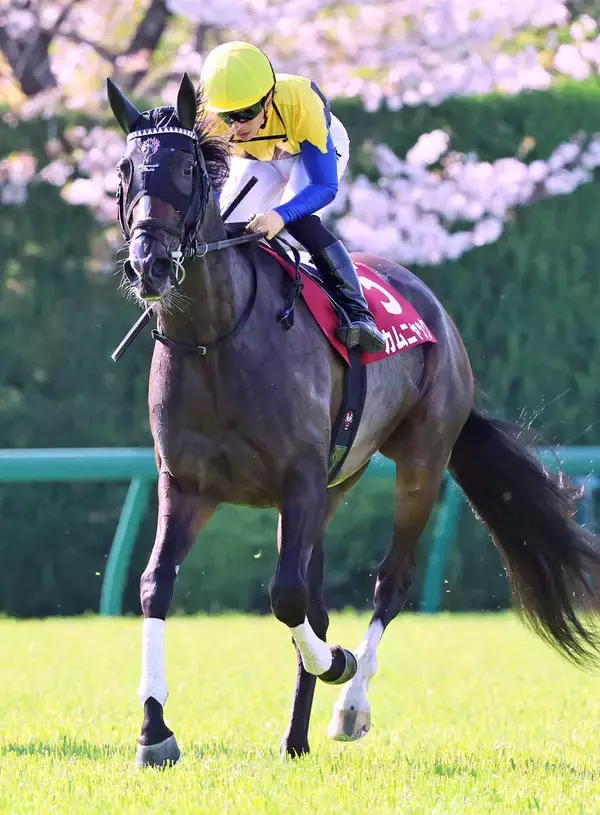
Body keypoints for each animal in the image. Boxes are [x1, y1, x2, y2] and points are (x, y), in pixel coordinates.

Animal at [106, 73, 600, 768]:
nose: (148, 265)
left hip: (420, 460)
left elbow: (287, 596)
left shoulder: (299, 480)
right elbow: (159, 585)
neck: (216, 340)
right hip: (338, 482)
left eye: (184, 168)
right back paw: (295, 738)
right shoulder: (186, 485)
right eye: (124, 171)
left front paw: (336, 664)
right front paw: (154, 730)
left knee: (389, 583)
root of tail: (437, 311)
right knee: (315, 597)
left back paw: (349, 706)